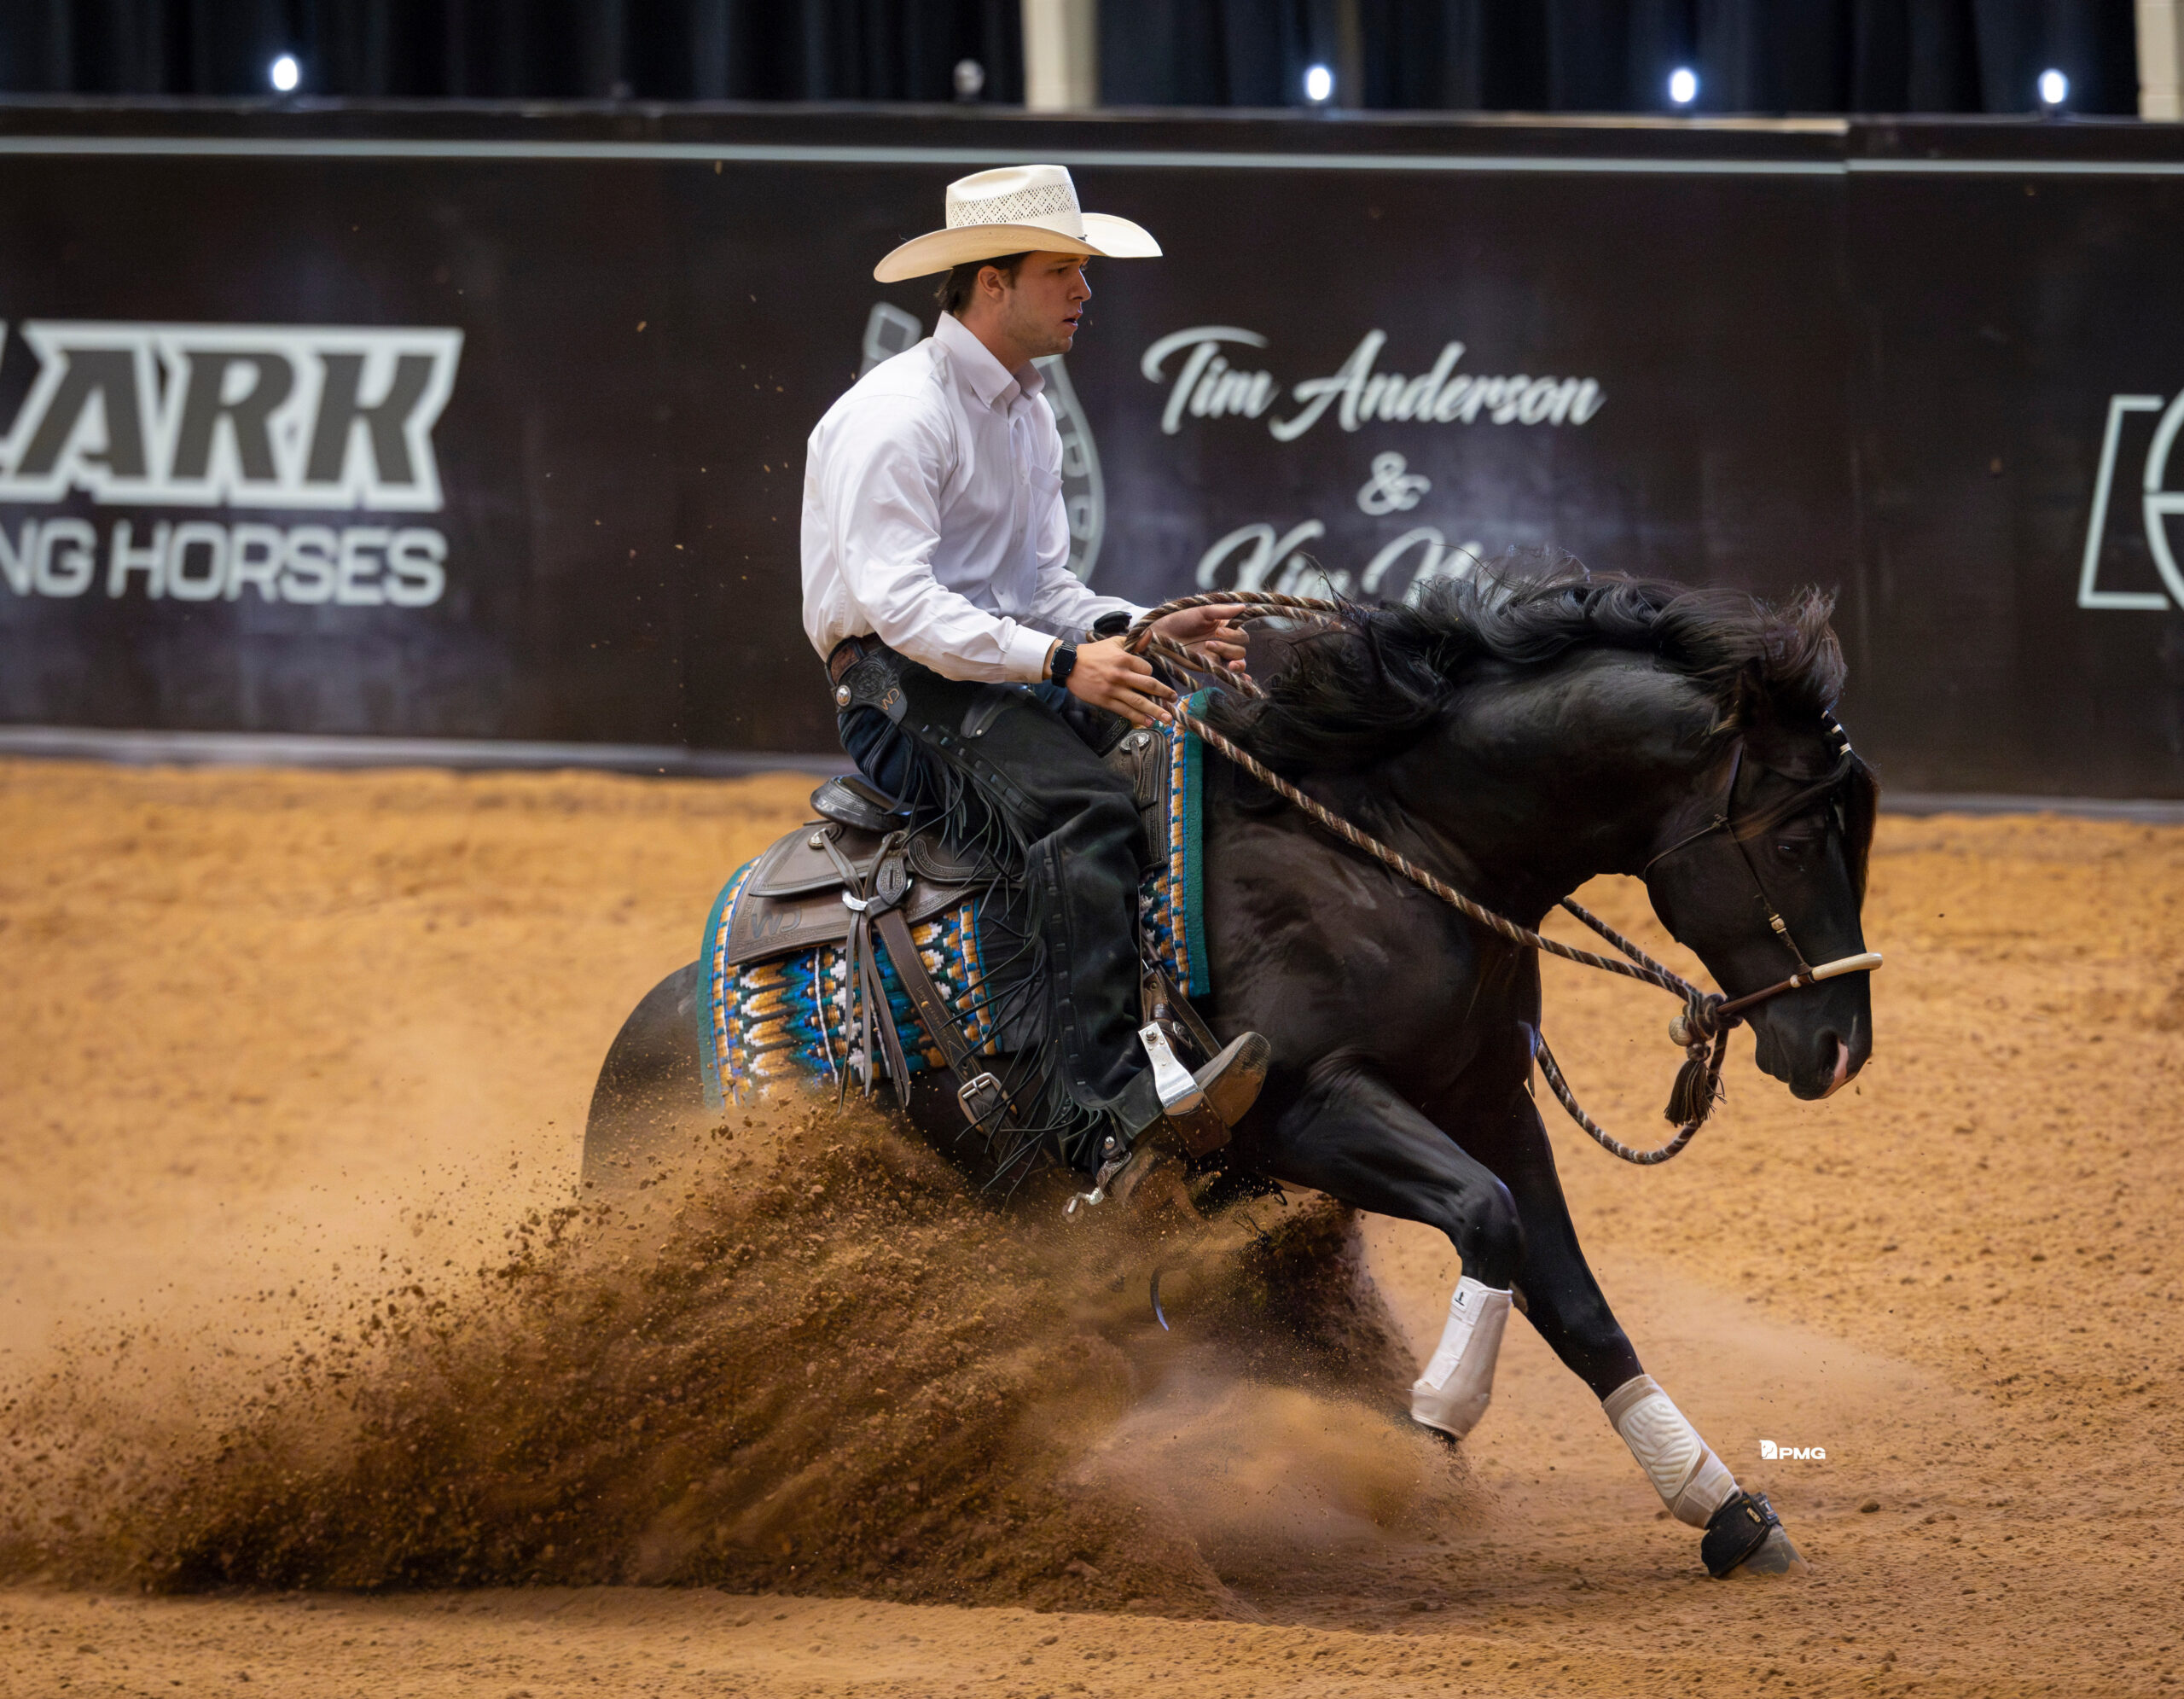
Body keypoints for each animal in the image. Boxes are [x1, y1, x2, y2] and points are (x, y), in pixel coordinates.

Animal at [581, 561, 1879, 1581]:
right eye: (1797, 836)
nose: (1839, 1047)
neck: (1389, 841)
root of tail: (625, 1062)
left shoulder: (1486, 1099)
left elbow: (1571, 1293)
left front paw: (1721, 1505)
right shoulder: (1301, 1107)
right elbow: (1487, 1219)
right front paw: (1430, 1419)